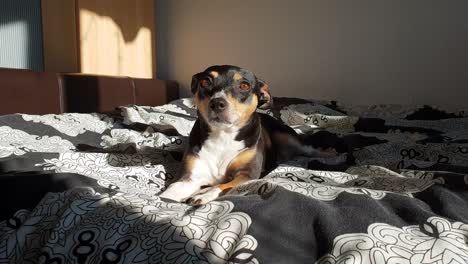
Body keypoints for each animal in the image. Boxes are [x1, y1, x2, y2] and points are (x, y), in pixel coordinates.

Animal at [159, 65, 328, 205]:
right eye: (205, 82)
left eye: (244, 85)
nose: (217, 103)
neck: (223, 135)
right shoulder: (189, 177)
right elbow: (169, 193)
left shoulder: (247, 174)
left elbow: (223, 186)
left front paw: (204, 194)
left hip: (288, 137)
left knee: (310, 149)